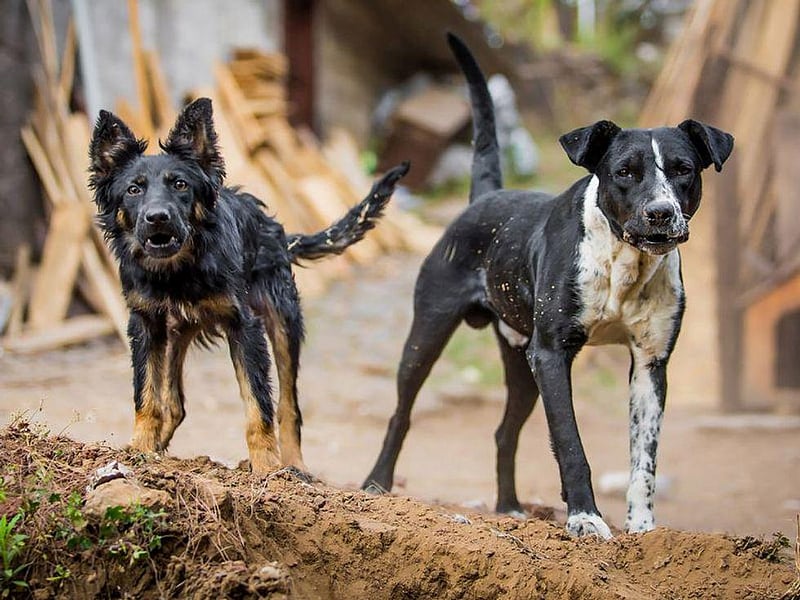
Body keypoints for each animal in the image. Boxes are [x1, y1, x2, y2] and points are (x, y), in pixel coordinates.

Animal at [90, 97, 410, 474]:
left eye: (180, 185)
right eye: (133, 189)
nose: (157, 218)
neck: (179, 271)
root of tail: (275, 228)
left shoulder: (245, 327)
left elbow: (259, 406)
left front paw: (267, 468)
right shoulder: (145, 324)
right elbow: (147, 396)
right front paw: (140, 450)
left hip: (284, 322)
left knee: (289, 407)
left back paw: (295, 467)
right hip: (177, 333)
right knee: (175, 403)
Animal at [366, 34, 736, 540]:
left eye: (683, 169)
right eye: (624, 171)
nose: (661, 213)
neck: (624, 262)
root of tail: (485, 196)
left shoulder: (650, 364)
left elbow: (644, 460)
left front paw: (643, 530)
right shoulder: (552, 355)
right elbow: (571, 444)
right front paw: (585, 519)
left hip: (521, 363)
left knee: (504, 432)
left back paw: (509, 508)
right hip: (429, 335)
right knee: (400, 414)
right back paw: (376, 485)